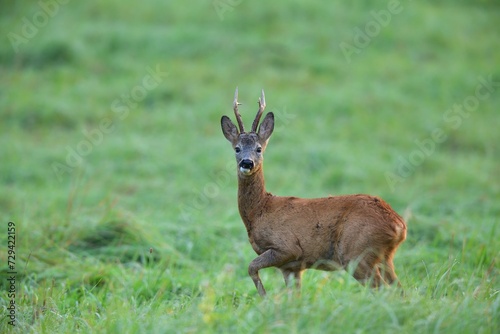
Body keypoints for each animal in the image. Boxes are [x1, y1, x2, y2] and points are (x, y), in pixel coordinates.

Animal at [222, 88, 406, 294]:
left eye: (259, 149)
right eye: (237, 148)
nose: (247, 163)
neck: (260, 210)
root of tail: (399, 225)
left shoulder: (287, 248)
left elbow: (251, 267)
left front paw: (264, 297)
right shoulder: (291, 267)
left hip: (358, 254)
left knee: (383, 290)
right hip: (384, 257)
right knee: (400, 290)